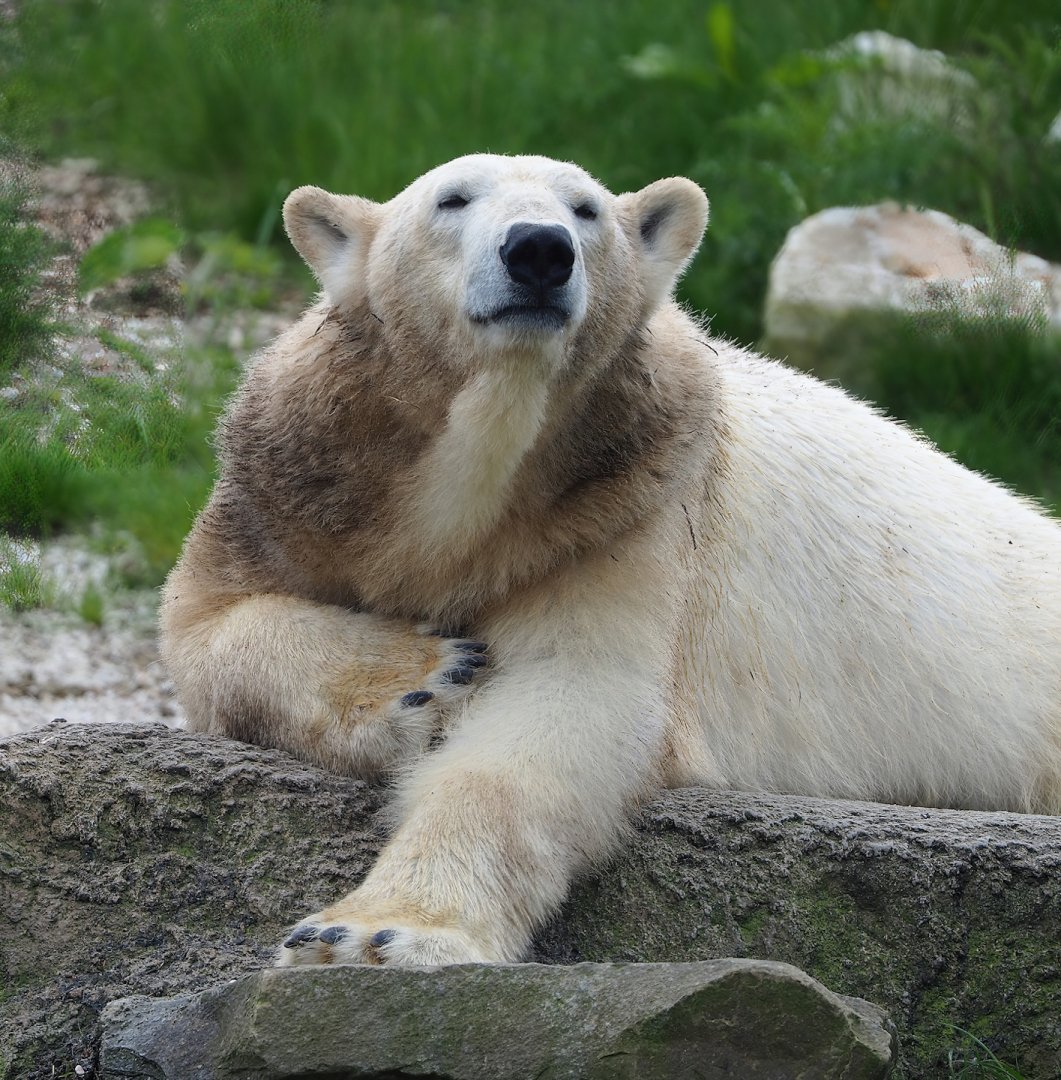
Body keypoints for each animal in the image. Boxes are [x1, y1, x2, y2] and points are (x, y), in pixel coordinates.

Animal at [160, 153, 1061, 968]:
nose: (537, 249)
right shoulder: (291, 488)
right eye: (451, 198)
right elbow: (207, 628)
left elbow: (570, 701)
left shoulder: (623, 512)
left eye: (585, 208)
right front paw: (421, 677)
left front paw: (374, 933)